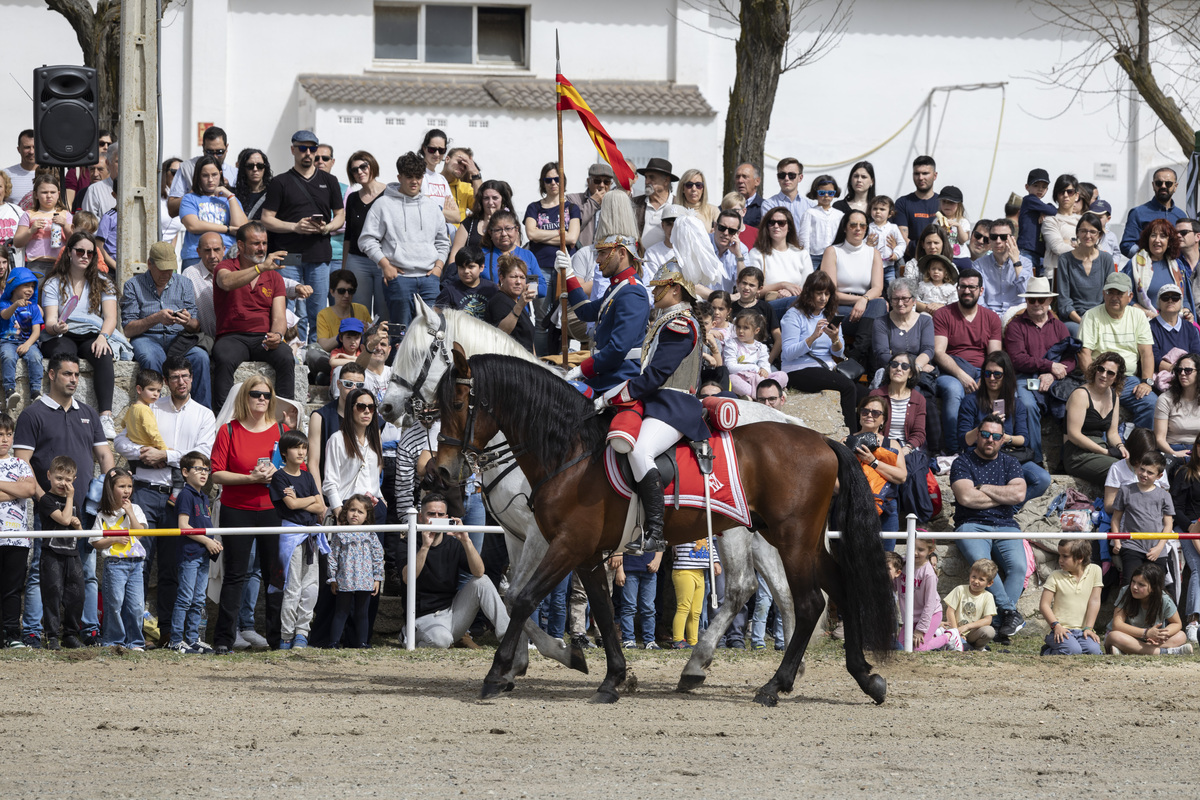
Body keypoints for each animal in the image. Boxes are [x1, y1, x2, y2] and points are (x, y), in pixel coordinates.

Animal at [376, 303, 796, 690]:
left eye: (420, 353)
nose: (386, 407)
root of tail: (783, 420)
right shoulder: (516, 534)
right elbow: (514, 593)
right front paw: (520, 663)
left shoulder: (545, 535)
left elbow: (519, 593)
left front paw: (555, 656)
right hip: (756, 530)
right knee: (782, 588)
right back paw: (790, 663)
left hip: (734, 530)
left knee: (742, 587)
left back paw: (700, 664)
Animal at [436, 352, 897, 705]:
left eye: (457, 405)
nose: (439, 471)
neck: (570, 452)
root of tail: (820, 438)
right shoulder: (585, 553)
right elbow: (601, 611)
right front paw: (613, 678)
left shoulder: (564, 544)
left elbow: (522, 598)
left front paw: (498, 674)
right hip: (792, 538)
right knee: (837, 587)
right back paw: (865, 677)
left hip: (789, 538)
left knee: (803, 601)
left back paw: (768, 684)